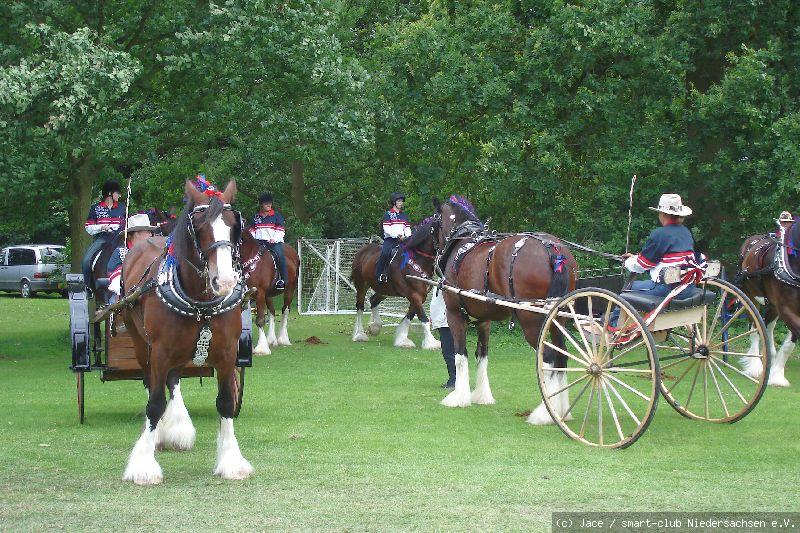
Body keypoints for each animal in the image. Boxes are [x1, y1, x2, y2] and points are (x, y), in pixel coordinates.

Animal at [121, 181, 253, 484]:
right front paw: (143, 465)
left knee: (174, 380)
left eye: (234, 226)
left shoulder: (227, 353)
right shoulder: (159, 351)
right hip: (141, 343)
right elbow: (155, 403)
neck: (200, 304)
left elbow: (226, 402)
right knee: (152, 383)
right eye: (200, 227)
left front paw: (231, 460)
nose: (224, 281)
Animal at [350, 217, 440, 350]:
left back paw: (375, 327)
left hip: (384, 290)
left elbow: (410, 315)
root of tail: (362, 250)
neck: (418, 260)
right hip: (361, 285)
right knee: (360, 307)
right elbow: (423, 317)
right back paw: (359, 335)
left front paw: (402, 339)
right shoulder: (413, 294)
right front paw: (431, 342)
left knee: (373, 300)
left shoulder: (421, 296)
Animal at [434, 195, 580, 424]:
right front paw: (482, 395)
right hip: (558, 318)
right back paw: (562, 410)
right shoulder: (484, 320)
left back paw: (543, 413)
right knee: (561, 356)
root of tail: (553, 251)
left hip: (531, 321)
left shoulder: (454, 314)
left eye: (435, 221)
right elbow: (482, 355)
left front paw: (458, 397)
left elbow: (460, 355)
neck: (463, 242)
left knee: (547, 358)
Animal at [736, 220, 800, 386]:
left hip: (772, 305)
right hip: (750, 296)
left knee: (768, 326)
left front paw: (776, 375)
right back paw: (755, 366)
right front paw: (776, 374)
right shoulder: (786, 308)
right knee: (754, 327)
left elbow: (789, 344)